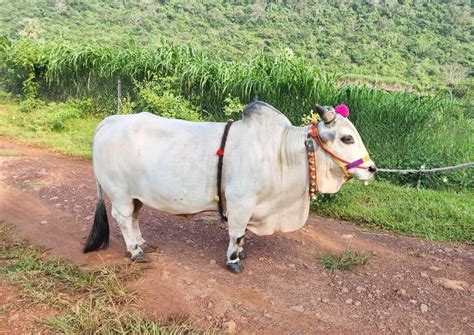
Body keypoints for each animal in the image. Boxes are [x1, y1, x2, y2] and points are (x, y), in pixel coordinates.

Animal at [83, 101, 376, 272]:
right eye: (347, 138)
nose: (371, 169)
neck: (278, 152)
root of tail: (109, 121)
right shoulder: (240, 202)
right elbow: (236, 233)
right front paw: (234, 260)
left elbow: (243, 234)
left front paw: (242, 253)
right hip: (120, 193)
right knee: (123, 218)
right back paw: (135, 252)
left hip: (136, 195)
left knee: (134, 217)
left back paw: (143, 243)